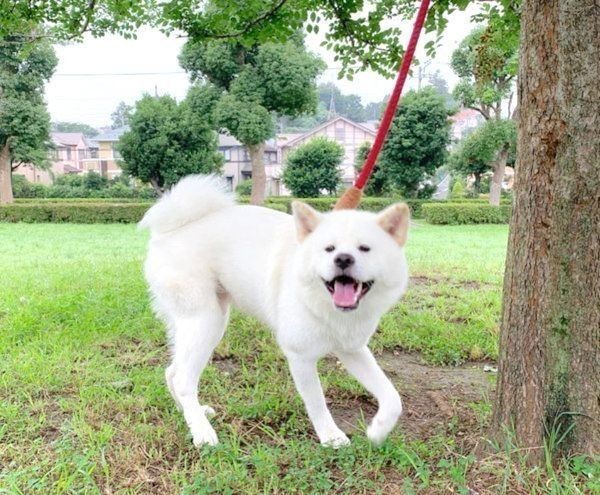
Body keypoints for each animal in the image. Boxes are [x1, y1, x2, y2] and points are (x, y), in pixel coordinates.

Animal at [142, 176, 408, 448]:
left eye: (365, 248)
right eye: (329, 248)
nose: (343, 259)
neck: (328, 308)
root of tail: (172, 230)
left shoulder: (351, 349)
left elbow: (393, 397)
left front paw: (378, 430)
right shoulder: (300, 356)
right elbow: (317, 402)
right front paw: (330, 436)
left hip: (206, 325)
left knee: (173, 372)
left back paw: (189, 413)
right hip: (205, 322)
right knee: (183, 380)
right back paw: (202, 431)